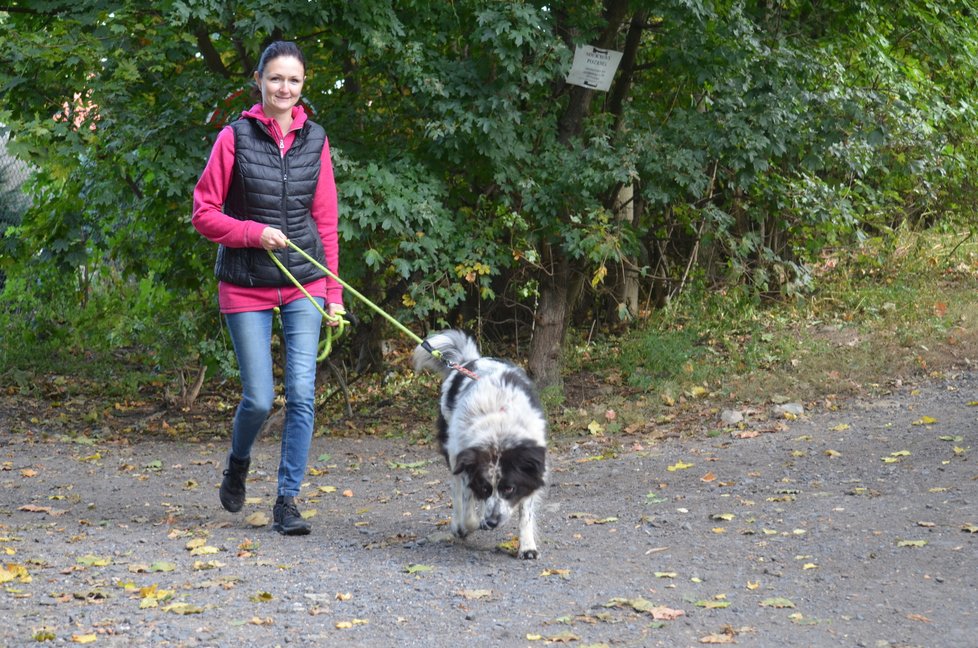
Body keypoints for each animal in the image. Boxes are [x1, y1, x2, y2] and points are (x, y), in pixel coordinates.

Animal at [412, 332, 544, 560]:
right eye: (485, 487)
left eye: (509, 488)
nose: (492, 521)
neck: (499, 427)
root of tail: (469, 361)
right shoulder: (466, 463)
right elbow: (468, 509)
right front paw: (466, 526)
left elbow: (525, 511)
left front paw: (527, 546)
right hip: (452, 451)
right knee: (457, 490)